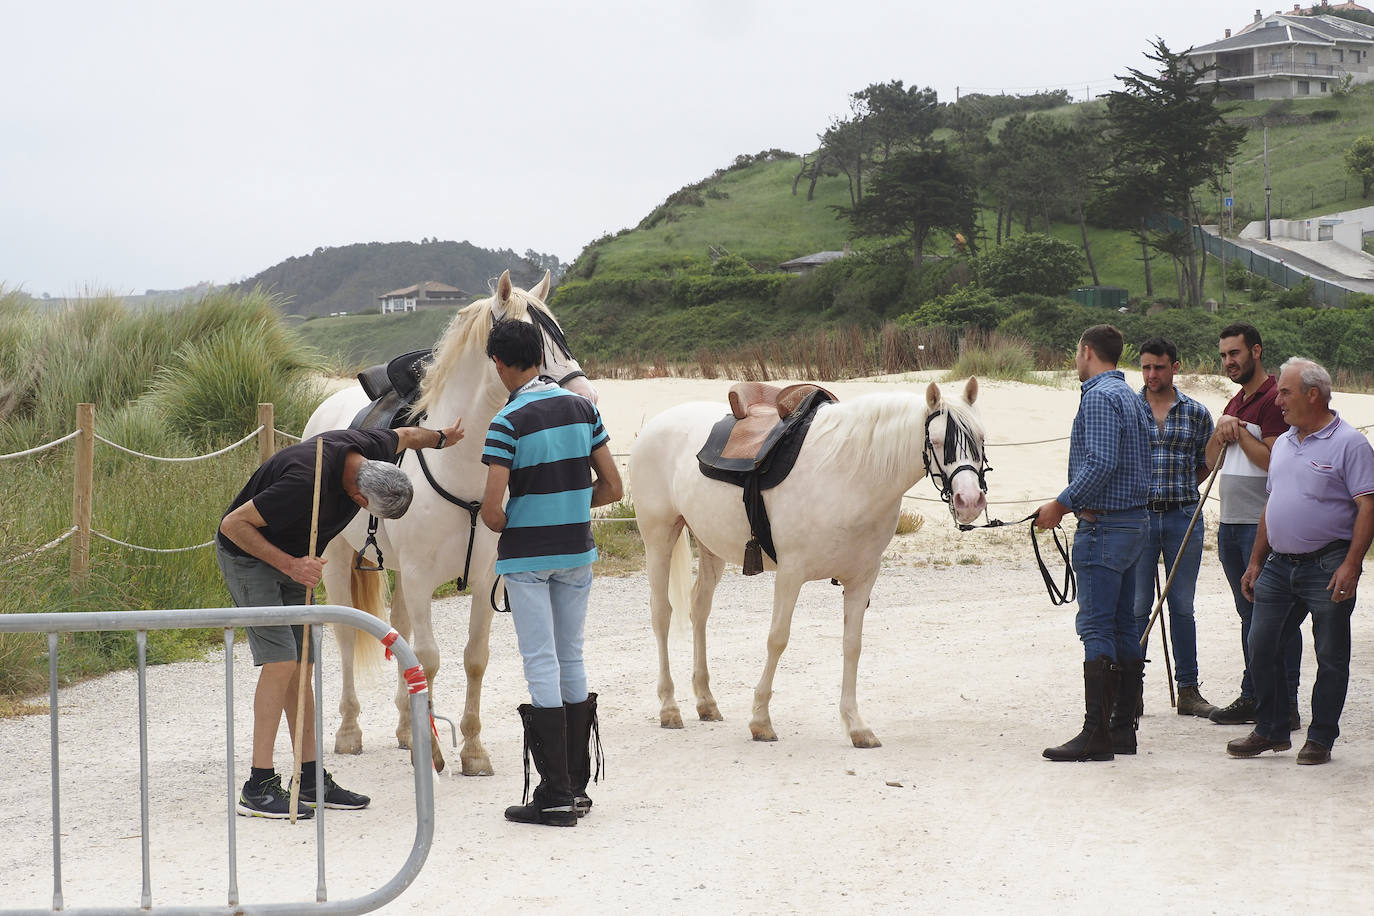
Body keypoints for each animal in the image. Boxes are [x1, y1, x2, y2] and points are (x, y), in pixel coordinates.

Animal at [303, 270, 593, 774]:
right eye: (533, 345)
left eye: (562, 336)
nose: (586, 399)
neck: (464, 468)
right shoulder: (421, 578)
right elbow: (429, 658)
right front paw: (434, 752)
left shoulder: (485, 578)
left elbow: (474, 657)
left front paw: (472, 750)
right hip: (339, 560)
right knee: (345, 636)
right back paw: (349, 731)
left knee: (396, 629)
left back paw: (404, 730)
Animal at [629, 376, 994, 747]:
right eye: (936, 441)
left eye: (980, 438)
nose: (970, 501)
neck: (849, 476)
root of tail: (656, 425)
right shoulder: (791, 574)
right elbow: (777, 639)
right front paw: (760, 720)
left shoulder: (862, 578)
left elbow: (852, 645)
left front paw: (856, 725)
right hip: (658, 536)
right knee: (661, 614)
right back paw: (669, 708)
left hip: (709, 545)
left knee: (699, 608)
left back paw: (706, 702)